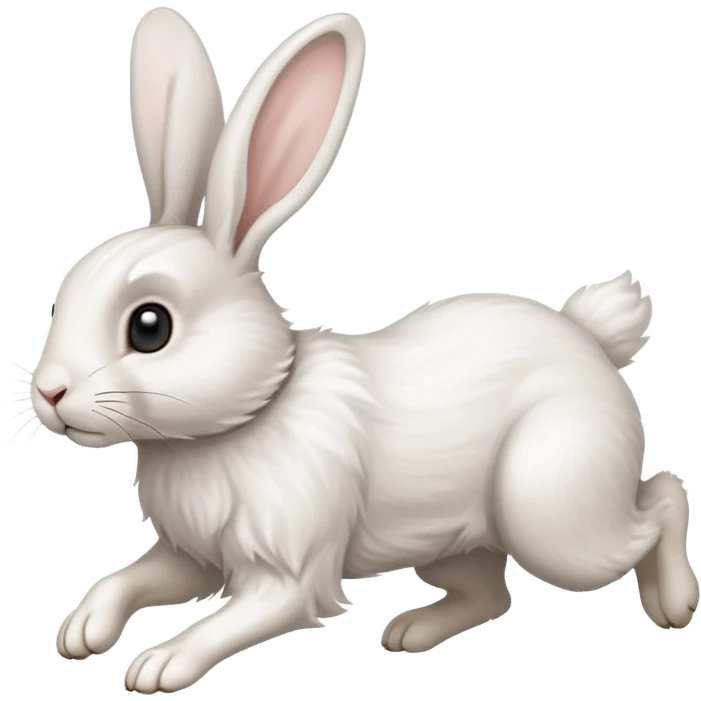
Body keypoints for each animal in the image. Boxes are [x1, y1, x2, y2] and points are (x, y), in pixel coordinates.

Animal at [35, 7, 697, 696]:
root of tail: (592, 343)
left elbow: (230, 619)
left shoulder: (288, 575)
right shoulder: (191, 556)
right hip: (450, 541)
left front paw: (160, 666)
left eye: (149, 327)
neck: (247, 416)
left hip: (553, 513)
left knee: (663, 498)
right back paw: (409, 633)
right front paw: (80, 632)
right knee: (494, 594)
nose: (48, 393)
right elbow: (130, 578)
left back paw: (675, 603)